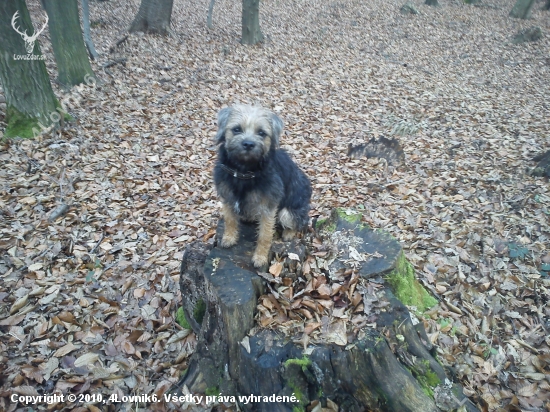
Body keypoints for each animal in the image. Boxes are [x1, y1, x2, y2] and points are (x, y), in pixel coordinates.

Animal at [213, 104, 312, 268]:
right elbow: (229, 219)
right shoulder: (227, 197)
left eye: (261, 132)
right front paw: (229, 237)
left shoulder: (268, 208)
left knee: (298, 223)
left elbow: (264, 234)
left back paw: (289, 233)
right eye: (236, 129)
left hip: (288, 211)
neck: (244, 171)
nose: (248, 144)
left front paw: (260, 257)